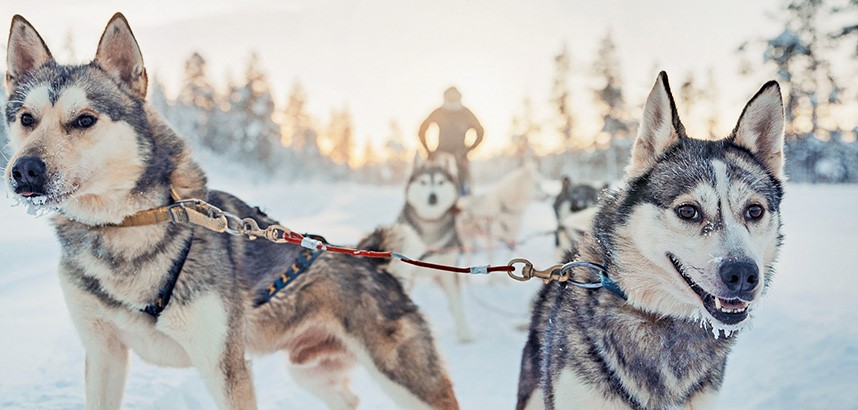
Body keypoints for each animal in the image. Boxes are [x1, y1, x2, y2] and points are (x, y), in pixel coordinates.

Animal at [3, 13, 458, 410]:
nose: (24, 170)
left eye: (84, 120)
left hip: (406, 379)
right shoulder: (103, 356)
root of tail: (375, 261)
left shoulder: (224, 368)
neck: (125, 228)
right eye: (26, 118)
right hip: (311, 373)